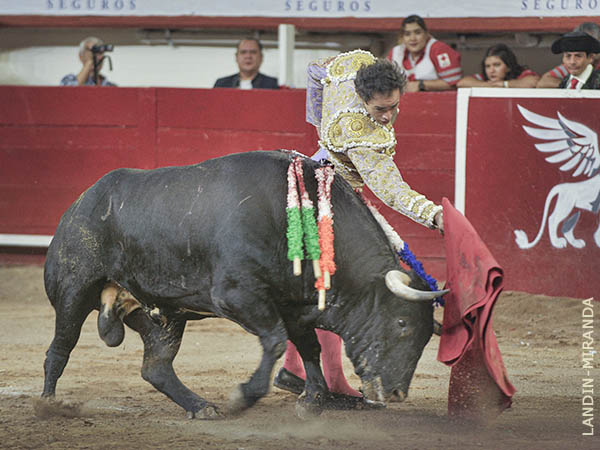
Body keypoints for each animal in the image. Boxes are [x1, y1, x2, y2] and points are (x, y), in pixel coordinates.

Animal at [42, 151, 442, 418]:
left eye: (427, 336)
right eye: (402, 324)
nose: (396, 393)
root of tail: (77, 206)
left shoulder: (292, 306)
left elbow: (309, 346)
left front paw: (313, 399)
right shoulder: (237, 296)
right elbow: (276, 341)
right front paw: (245, 396)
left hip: (164, 315)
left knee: (156, 366)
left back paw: (201, 407)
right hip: (74, 290)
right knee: (60, 348)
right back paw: (47, 404)